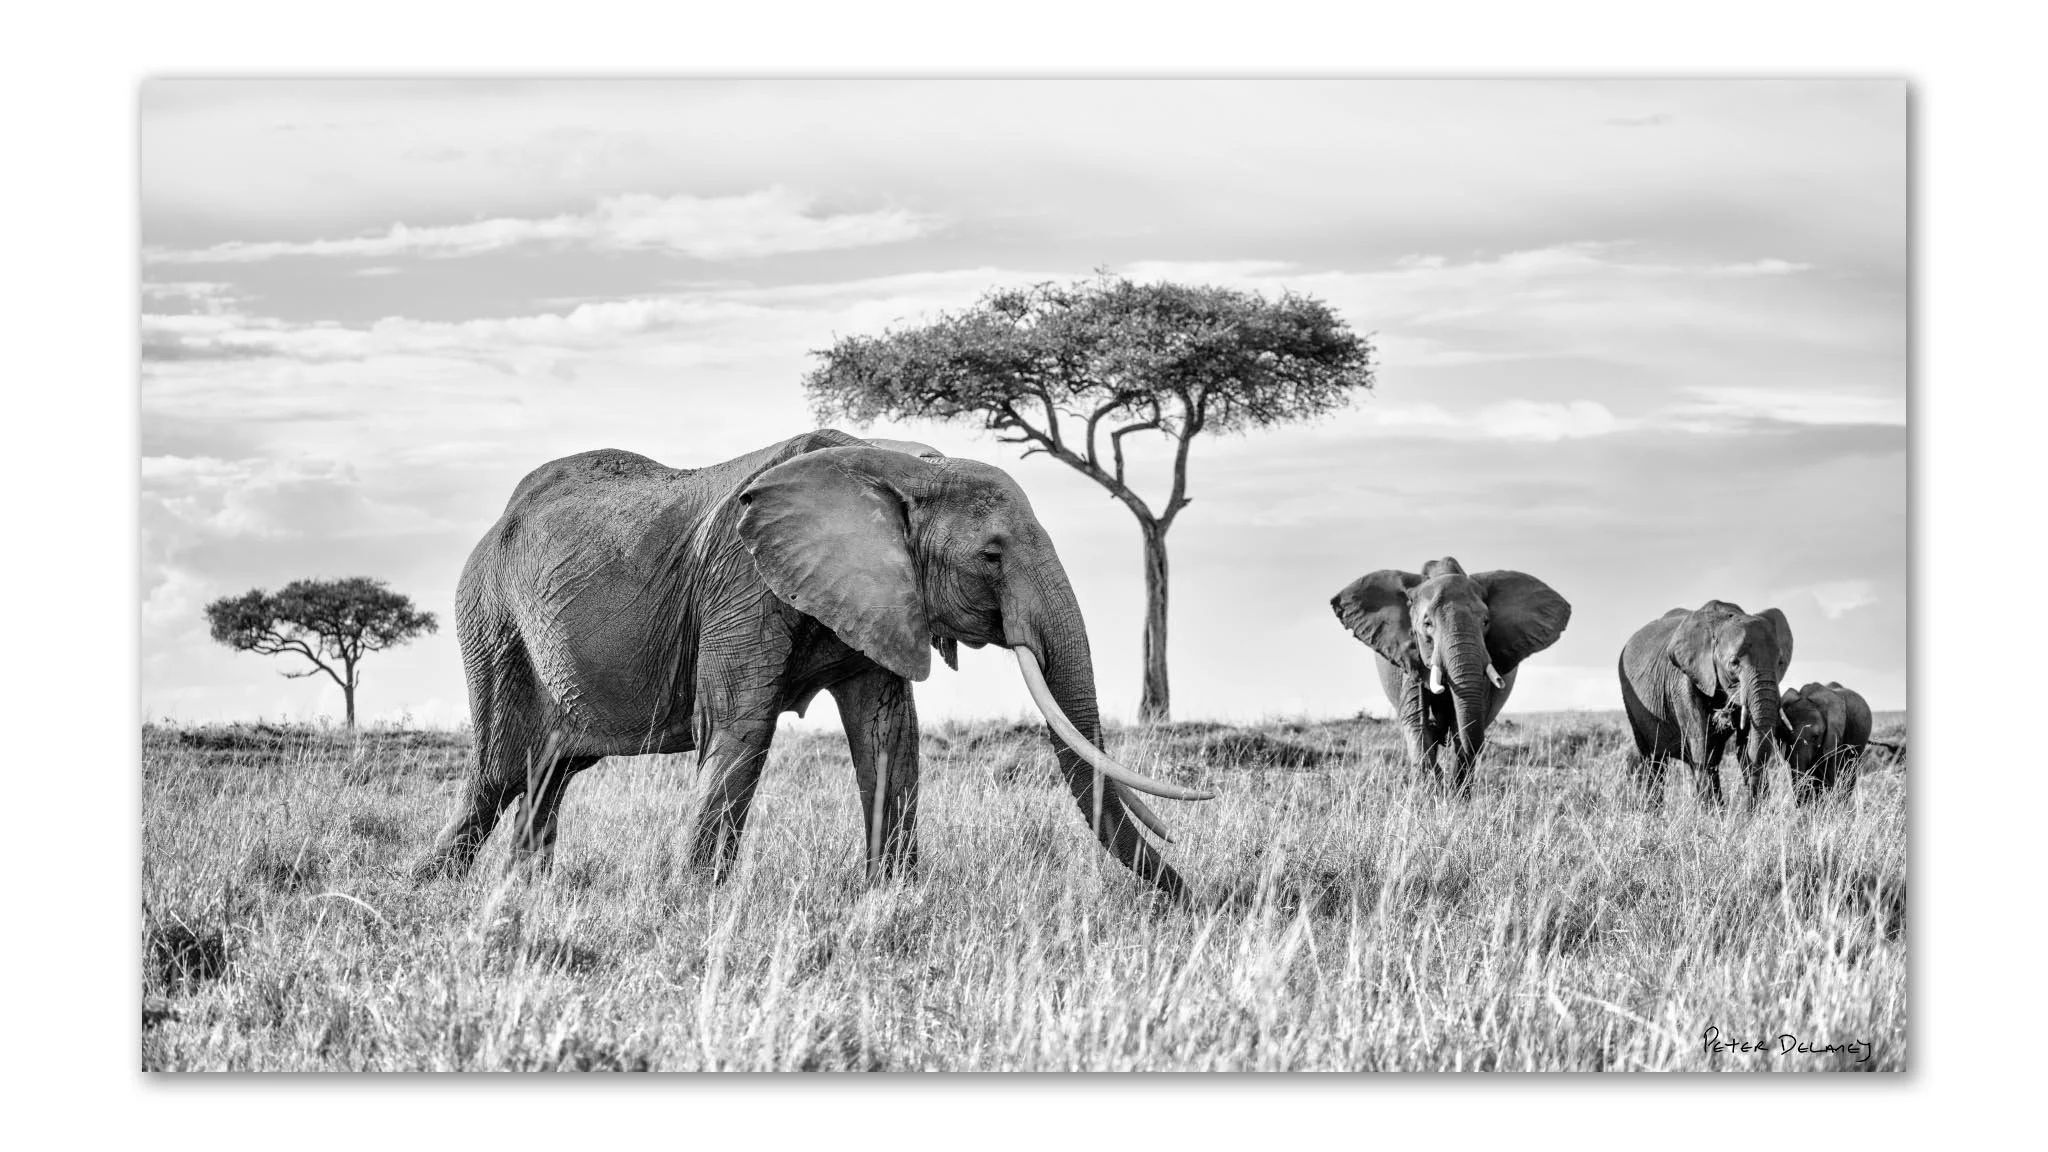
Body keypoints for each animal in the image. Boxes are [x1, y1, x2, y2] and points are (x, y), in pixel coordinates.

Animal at [411, 429, 1212, 898]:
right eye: (991, 556)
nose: (1198, 899)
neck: (898, 466)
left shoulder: (882, 595)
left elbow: (889, 734)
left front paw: (893, 899)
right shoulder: (741, 578)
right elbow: (741, 729)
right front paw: (694, 904)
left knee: (548, 773)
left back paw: (522, 892)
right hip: (491, 619)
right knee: (498, 772)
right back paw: (426, 891)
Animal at [1330, 557, 1571, 791]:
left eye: (1486, 622)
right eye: (1427, 624)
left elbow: (1461, 727)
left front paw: (1455, 798)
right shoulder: (1409, 656)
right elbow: (1417, 725)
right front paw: (1431, 795)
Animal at [1618, 600, 1793, 804]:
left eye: (1780, 662)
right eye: (1734, 663)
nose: (1746, 808)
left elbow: (1743, 747)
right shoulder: (1684, 682)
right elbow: (1703, 749)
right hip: (1631, 702)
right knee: (1654, 760)